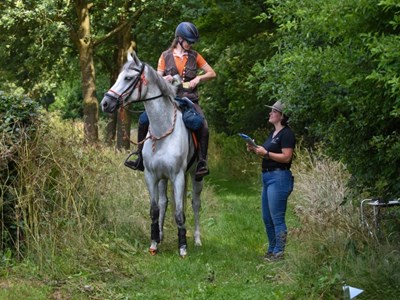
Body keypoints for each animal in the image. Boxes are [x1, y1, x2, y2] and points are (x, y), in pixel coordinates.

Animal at [101, 51, 203, 255]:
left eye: (128, 78)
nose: (105, 103)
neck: (162, 129)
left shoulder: (178, 176)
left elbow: (179, 212)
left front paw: (182, 248)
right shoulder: (151, 175)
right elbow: (155, 210)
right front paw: (154, 242)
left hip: (195, 175)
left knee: (195, 203)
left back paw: (196, 239)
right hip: (163, 178)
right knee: (164, 202)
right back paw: (161, 235)